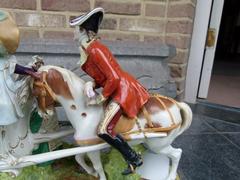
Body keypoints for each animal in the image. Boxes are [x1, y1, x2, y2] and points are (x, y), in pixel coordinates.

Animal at [33, 65, 191, 180]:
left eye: (36, 91)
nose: (43, 114)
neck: (84, 112)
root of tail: (176, 104)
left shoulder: (93, 149)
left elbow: (98, 167)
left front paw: (98, 174)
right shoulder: (86, 146)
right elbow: (78, 158)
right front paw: (91, 172)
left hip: (159, 145)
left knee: (177, 153)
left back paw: (170, 176)